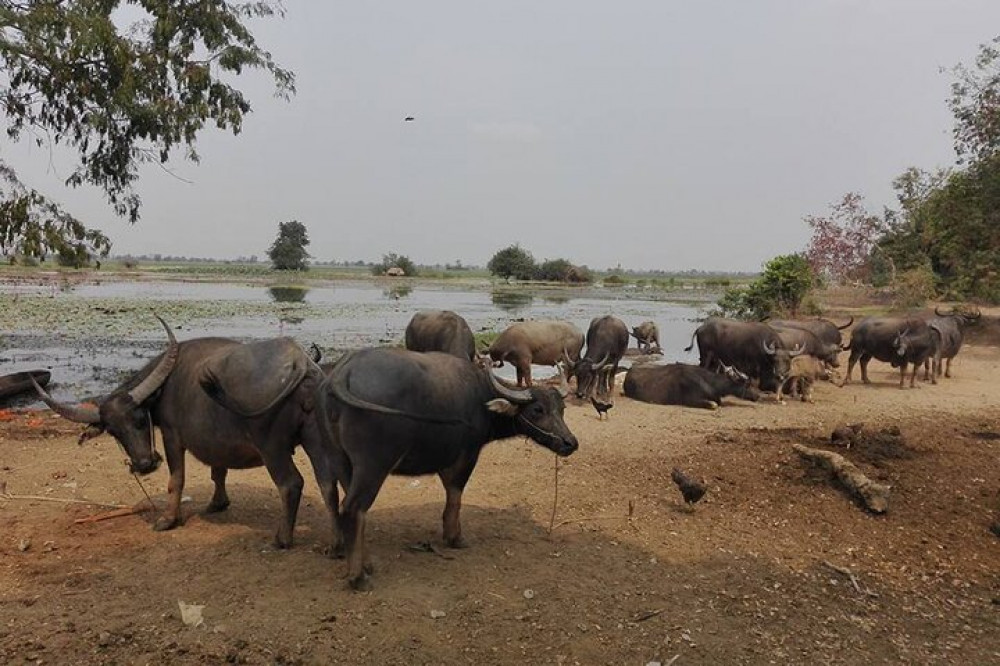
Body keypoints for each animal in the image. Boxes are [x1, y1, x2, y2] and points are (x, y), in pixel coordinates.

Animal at [33, 320, 338, 548]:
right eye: (114, 432)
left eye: (141, 419)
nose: (144, 465)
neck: (166, 386)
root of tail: (301, 362)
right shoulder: (216, 441)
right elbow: (218, 472)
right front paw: (217, 503)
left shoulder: (171, 437)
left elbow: (176, 480)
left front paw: (168, 520)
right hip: (315, 440)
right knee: (327, 484)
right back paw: (336, 544)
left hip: (272, 448)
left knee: (291, 484)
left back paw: (281, 539)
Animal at [312, 344, 580, 588]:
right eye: (537, 410)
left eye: (562, 409)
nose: (570, 442)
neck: (480, 396)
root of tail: (342, 373)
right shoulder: (466, 456)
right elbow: (455, 496)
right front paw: (455, 537)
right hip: (373, 465)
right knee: (353, 508)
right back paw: (358, 578)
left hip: (340, 459)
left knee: (349, 506)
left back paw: (366, 563)